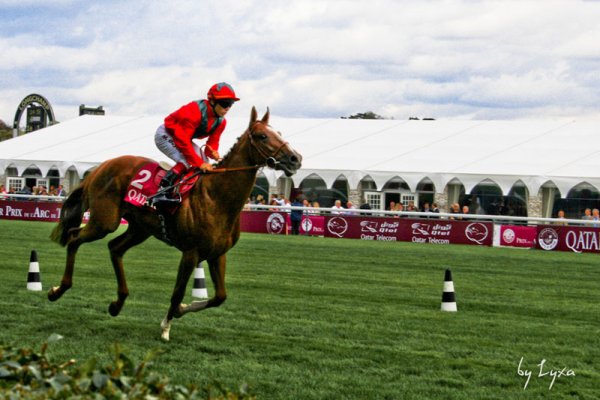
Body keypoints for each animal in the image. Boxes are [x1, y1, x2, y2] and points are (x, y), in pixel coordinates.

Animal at [47, 107, 302, 340]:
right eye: (262, 136)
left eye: (278, 132)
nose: (295, 158)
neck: (216, 197)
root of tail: (100, 167)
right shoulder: (191, 252)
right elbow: (178, 292)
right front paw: (166, 327)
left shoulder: (217, 253)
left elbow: (220, 297)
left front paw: (179, 311)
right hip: (104, 221)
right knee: (74, 238)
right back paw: (58, 290)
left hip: (140, 228)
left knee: (114, 248)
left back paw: (117, 303)